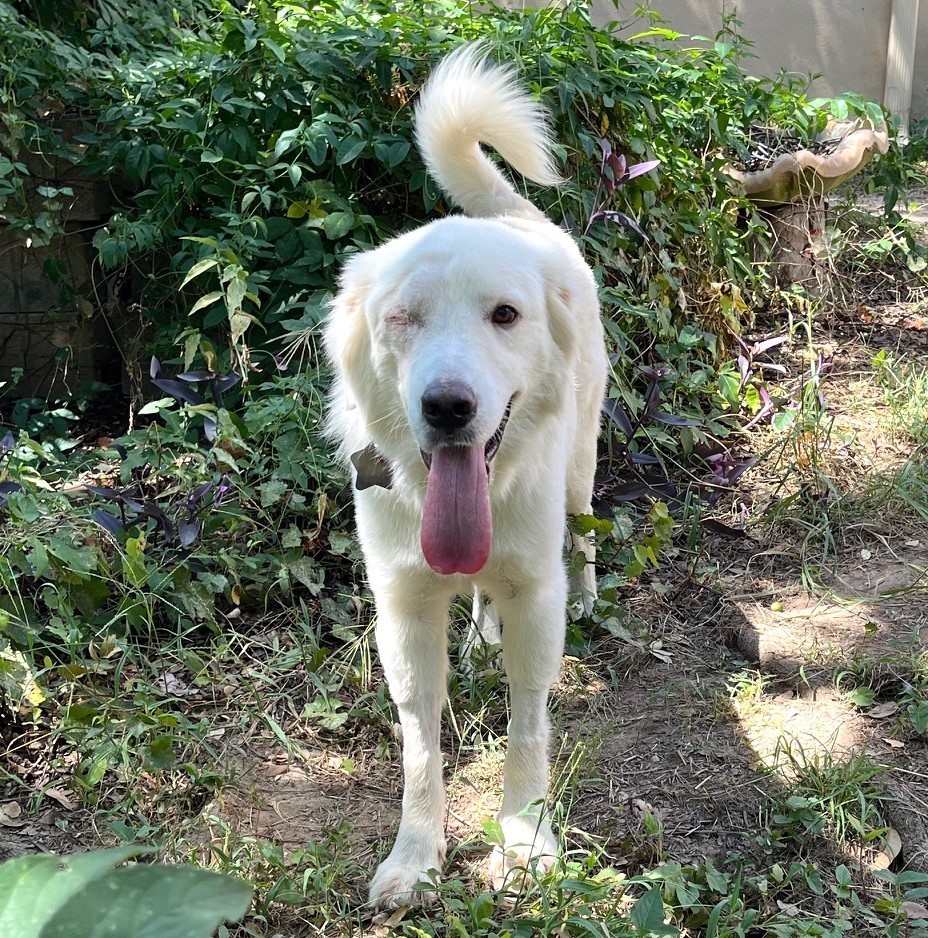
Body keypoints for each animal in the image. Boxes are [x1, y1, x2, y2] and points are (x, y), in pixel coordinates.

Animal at [322, 44, 604, 908]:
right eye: (402, 319)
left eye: (504, 315)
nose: (447, 407)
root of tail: (517, 221)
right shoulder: (404, 607)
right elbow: (419, 744)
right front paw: (415, 856)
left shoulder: (536, 596)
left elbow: (527, 725)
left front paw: (526, 841)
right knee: (479, 592)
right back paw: (479, 634)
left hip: (580, 469)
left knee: (584, 536)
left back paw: (589, 594)